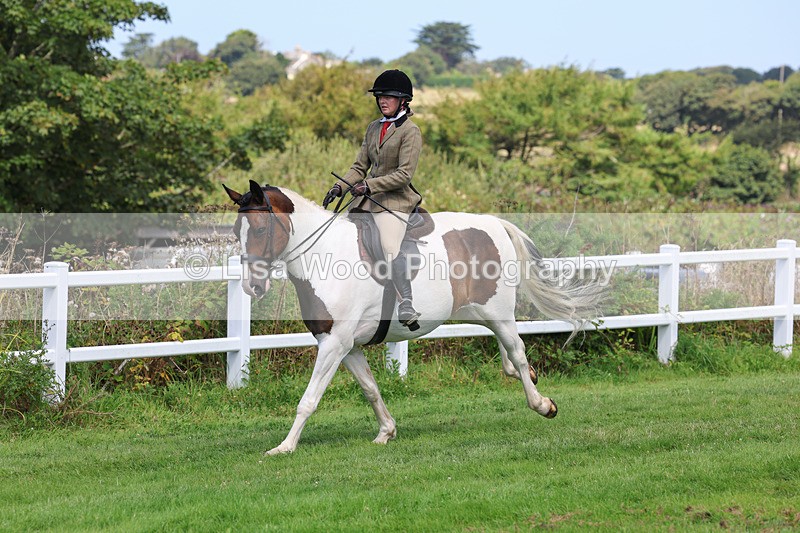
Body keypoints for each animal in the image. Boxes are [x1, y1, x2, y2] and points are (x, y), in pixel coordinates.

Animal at [223, 180, 601, 455]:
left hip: (498, 311)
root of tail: (493, 223)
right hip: (481, 312)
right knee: (509, 351)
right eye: (237, 230)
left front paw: (285, 447)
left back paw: (542, 404)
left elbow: (309, 399)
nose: (252, 286)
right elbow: (370, 388)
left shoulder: (334, 343)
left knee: (518, 353)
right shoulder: (347, 346)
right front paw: (386, 431)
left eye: (260, 230)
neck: (325, 255)